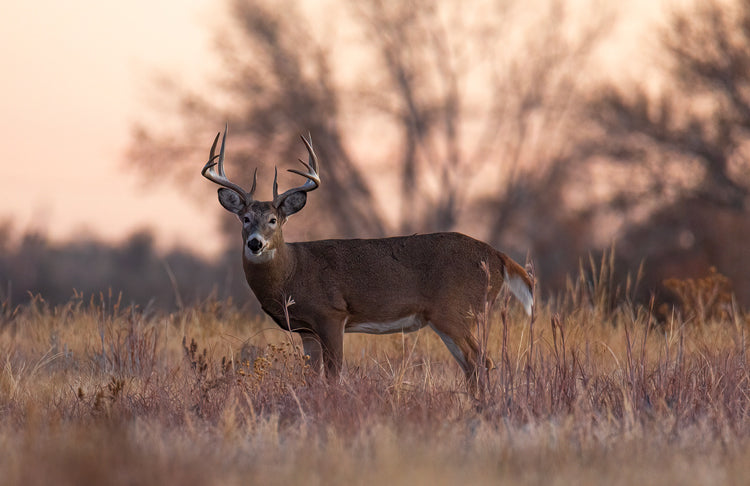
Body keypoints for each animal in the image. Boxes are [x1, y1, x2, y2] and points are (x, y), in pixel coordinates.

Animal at [201, 127, 534, 385]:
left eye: (273, 220)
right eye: (245, 218)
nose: (255, 243)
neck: (292, 271)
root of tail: (498, 256)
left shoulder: (331, 313)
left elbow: (334, 375)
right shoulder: (306, 329)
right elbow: (311, 378)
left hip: (456, 309)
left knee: (481, 361)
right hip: (453, 316)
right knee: (472, 365)